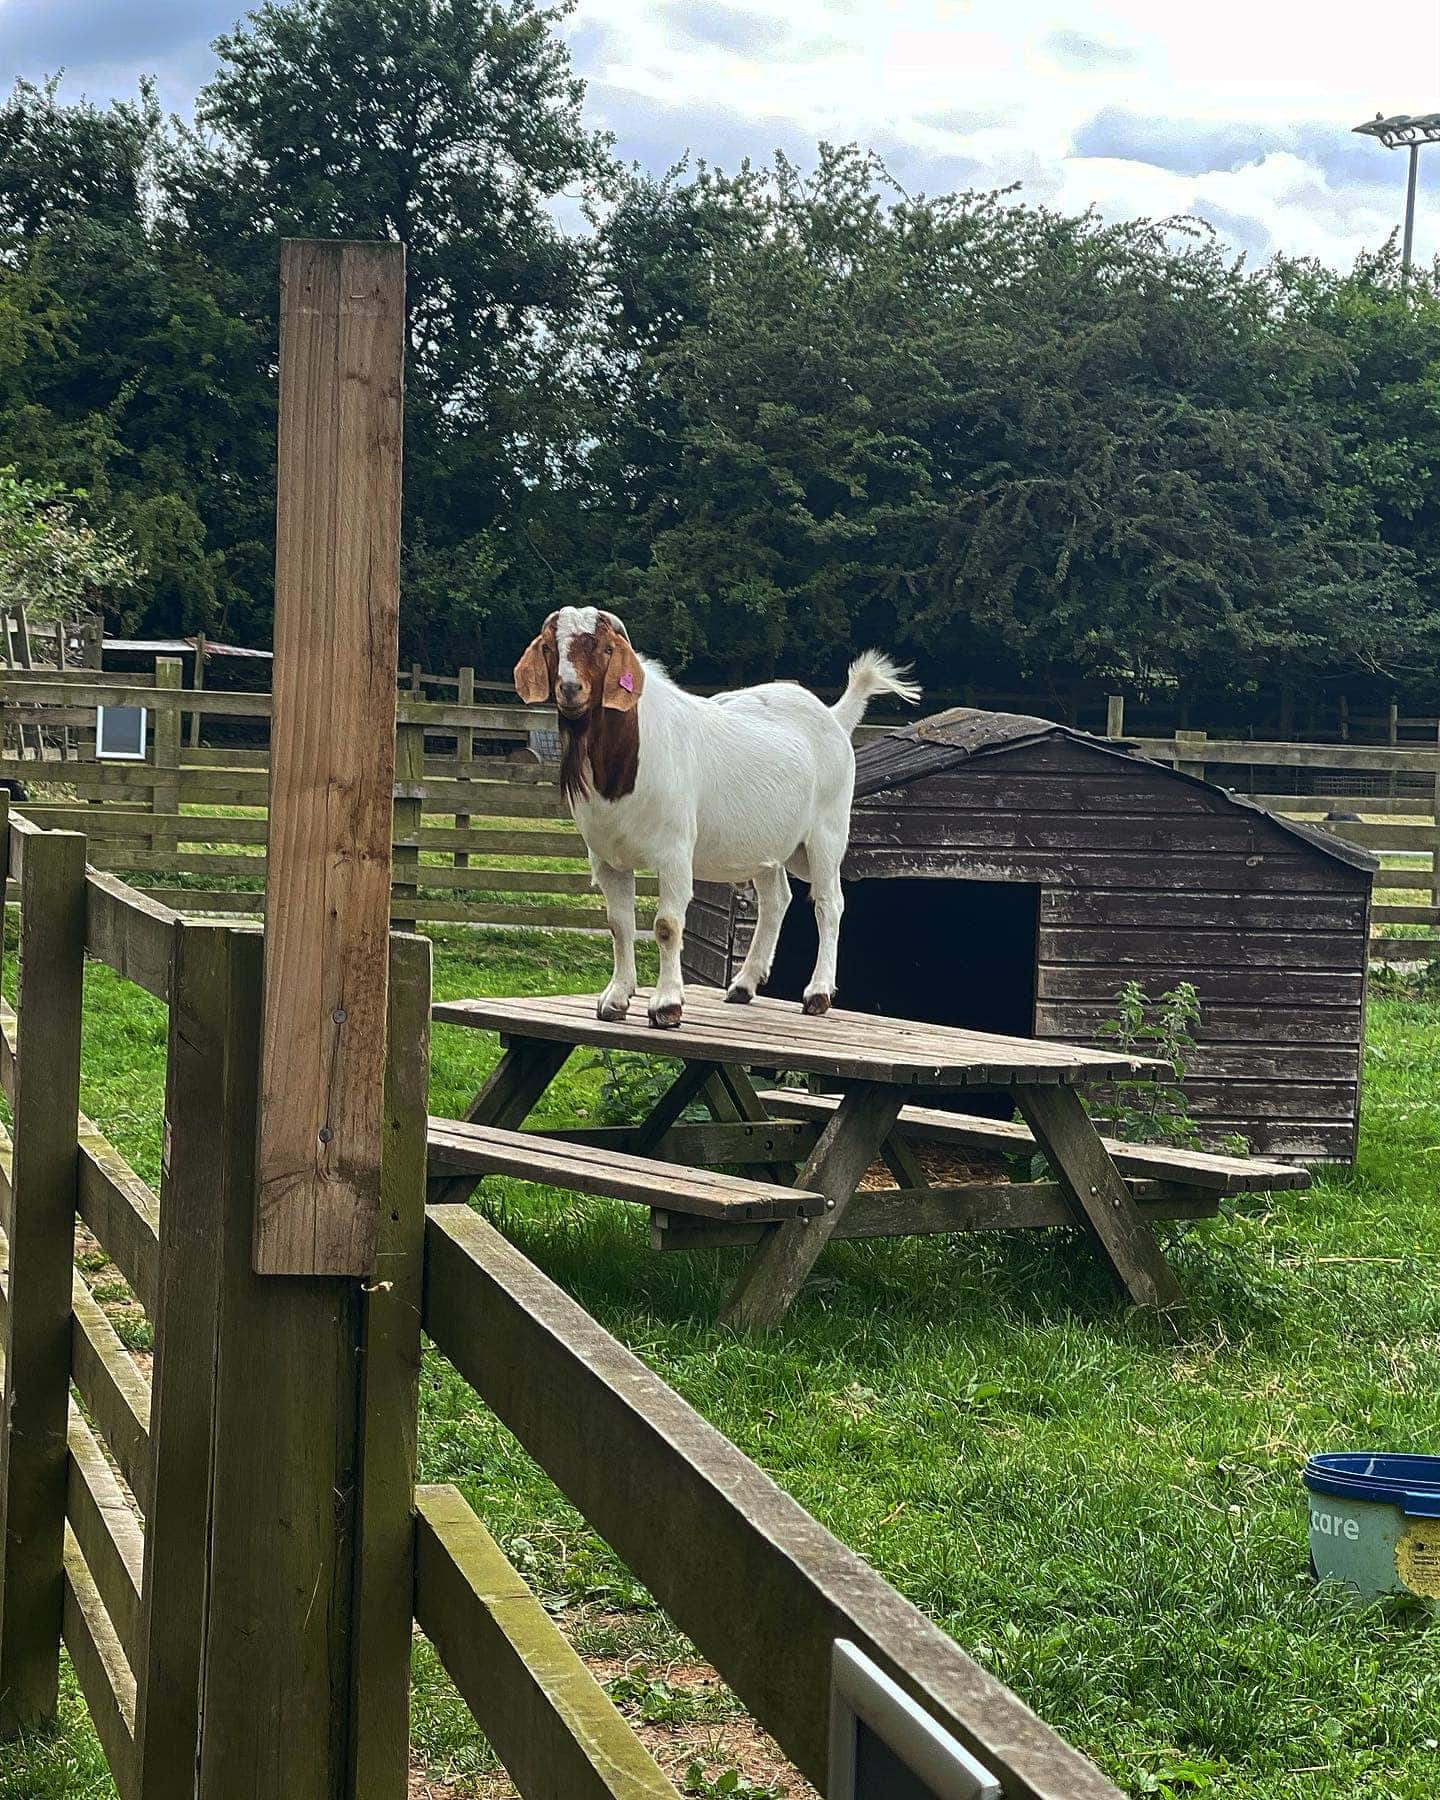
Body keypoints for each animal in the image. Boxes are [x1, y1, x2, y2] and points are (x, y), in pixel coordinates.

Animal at [518, 604, 918, 1029]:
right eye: (549, 647)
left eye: (607, 648)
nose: (570, 688)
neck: (630, 760)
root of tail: (834, 717)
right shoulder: (607, 858)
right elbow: (619, 925)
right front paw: (615, 1000)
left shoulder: (674, 852)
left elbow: (666, 925)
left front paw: (666, 1005)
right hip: (769, 846)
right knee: (777, 900)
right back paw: (743, 985)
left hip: (826, 833)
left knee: (828, 902)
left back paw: (818, 994)